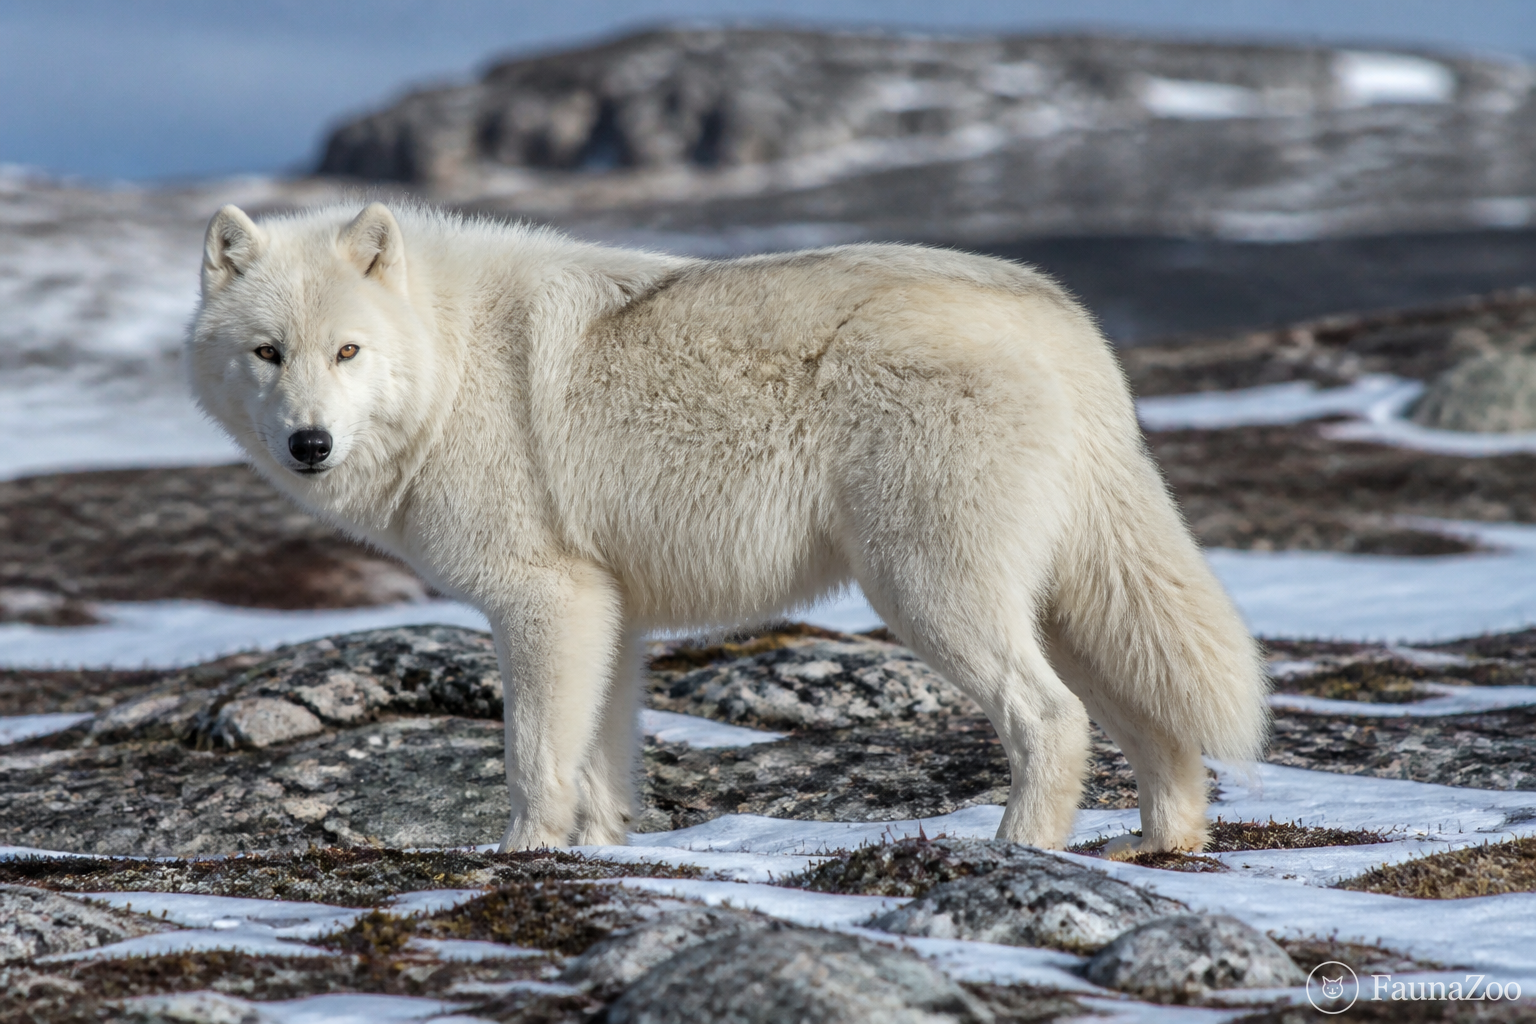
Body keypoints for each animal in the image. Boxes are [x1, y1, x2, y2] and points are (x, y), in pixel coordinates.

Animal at [188, 201, 1268, 854]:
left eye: (347, 351)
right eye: (268, 352)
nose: (311, 443)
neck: (453, 365)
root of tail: (1061, 316)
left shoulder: (548, 601)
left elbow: (534, 757)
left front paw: (521, 857)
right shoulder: (612, 616)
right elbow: (601, 768)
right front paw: (604, 856)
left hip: (929, 596)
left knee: (1051, 717)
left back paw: (1017, 851)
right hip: (1060, 606)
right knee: (1154, 729)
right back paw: (1159, 846)